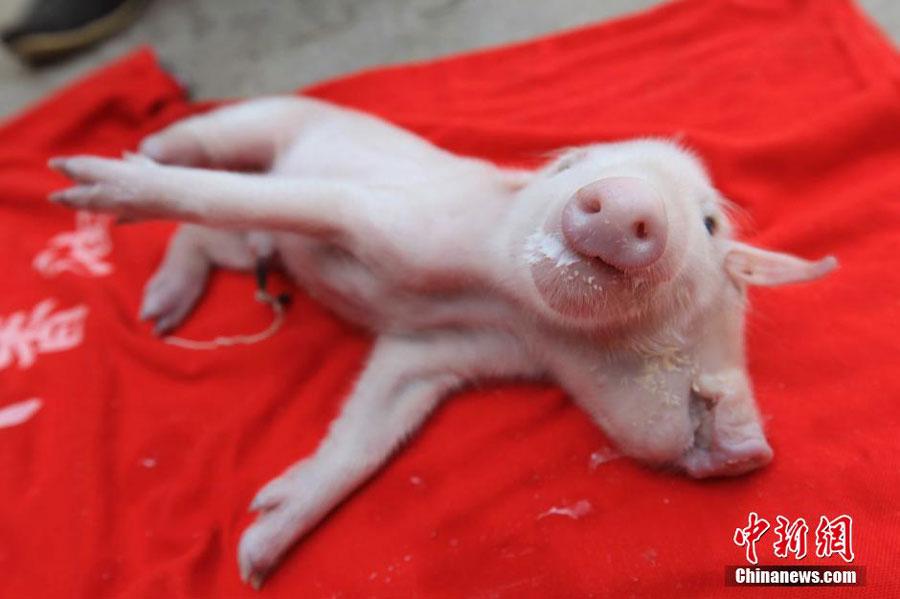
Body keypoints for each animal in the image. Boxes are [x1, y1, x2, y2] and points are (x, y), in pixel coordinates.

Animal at [47, 96, 837, 588]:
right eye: (571, 166)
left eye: (709, 221)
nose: (625, 203)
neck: (505, 296)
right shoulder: (380, 216)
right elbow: (279, 199)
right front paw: (88, 186)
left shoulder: (433, 354)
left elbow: (366, 437)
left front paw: (255, 554)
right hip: (269, 124)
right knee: (215, 156)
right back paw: (135, 173)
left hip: (251, 253)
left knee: (211, 239)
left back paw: (162, 314)